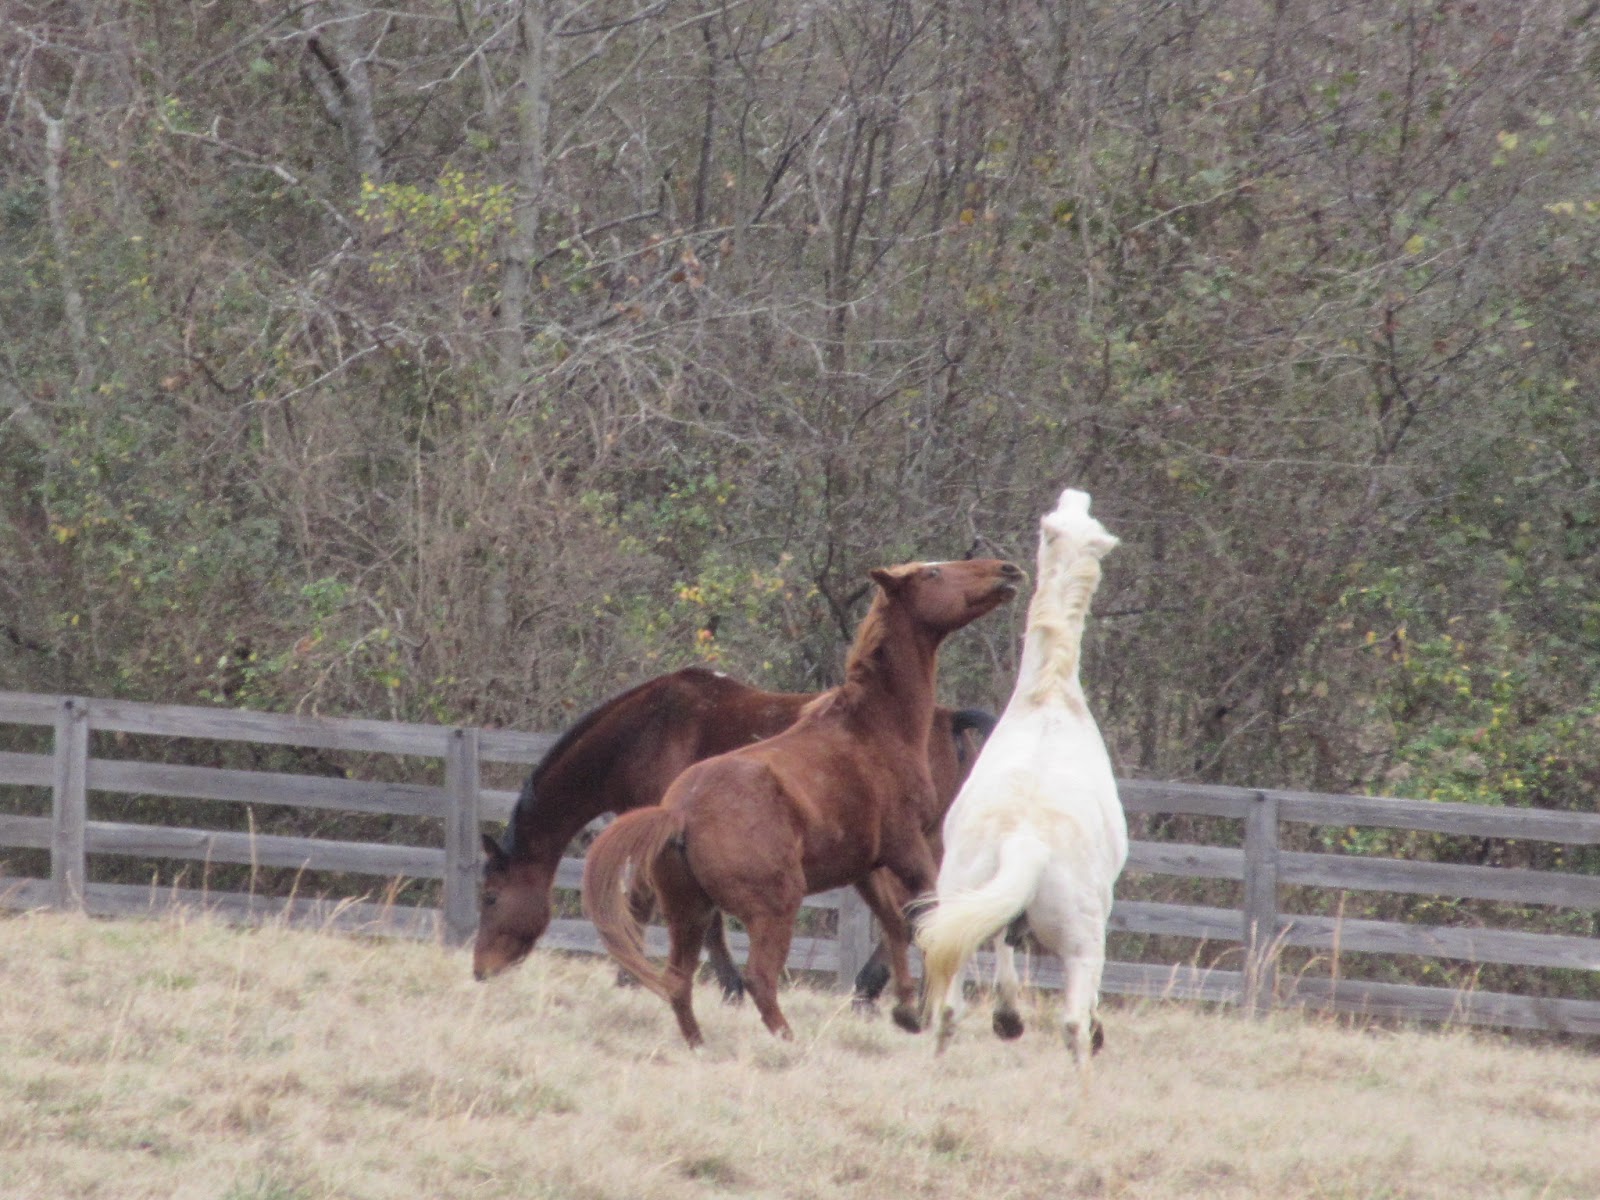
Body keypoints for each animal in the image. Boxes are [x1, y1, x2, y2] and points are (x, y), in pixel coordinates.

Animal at [473, 667, 998, 1003]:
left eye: (491, 897)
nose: (481, 969)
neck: (644, 734)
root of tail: (948, 719)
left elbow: (656, 909)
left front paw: (641, 979)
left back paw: (871, 990)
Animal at [581, 557, 1024, 1048]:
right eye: (933, 574)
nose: (1007, 570)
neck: (874, 729)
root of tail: (679, 812)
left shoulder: (867, 867)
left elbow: (895, 922)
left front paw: (906, 1007)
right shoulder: (907, 847)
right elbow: (928, 915)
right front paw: (926, 1011)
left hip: (688, 910)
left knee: (678, 980)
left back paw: (700, 1045)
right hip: (774, 906)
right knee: (758, 977)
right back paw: (789, 1040)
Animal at [916, 489, 1126, 1066]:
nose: (1076, 495)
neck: (1049, 696)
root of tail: (1026, 841)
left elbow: (1004, 949)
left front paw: (1007, 1017)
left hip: (957, 908)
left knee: (948, 1008)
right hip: (1082, 942)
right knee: (1074, 1023)